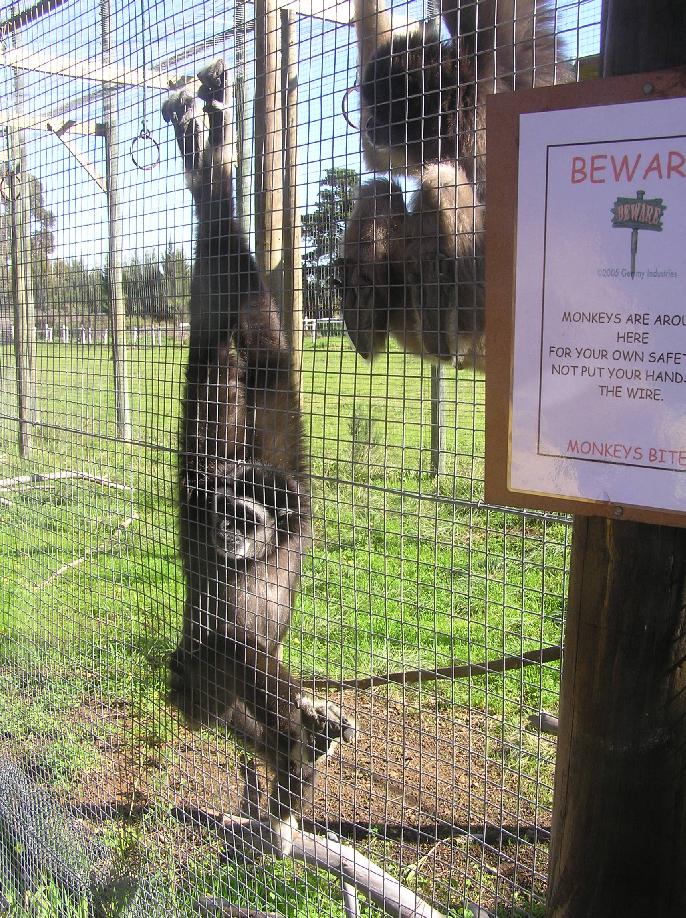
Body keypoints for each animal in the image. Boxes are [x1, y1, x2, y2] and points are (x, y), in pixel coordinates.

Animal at [341, 0, 565, 366]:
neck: (462, 124)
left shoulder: (497, 74)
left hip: (483, 303)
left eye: (384, 108)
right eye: (374, 109)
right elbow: (377, 161)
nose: (370, 121)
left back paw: (440, 328)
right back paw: (364, 314)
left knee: (441, 178)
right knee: (382, 190)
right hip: (406, 311)